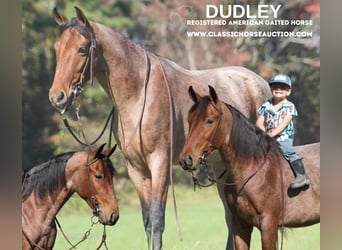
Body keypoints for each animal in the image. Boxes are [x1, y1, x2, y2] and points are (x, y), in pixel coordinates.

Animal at [179, 86, 320, 250]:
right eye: (189, 120)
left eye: (209, 121)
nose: (186, 159)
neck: (252, 170)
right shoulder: (240, 224)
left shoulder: (268, 225)